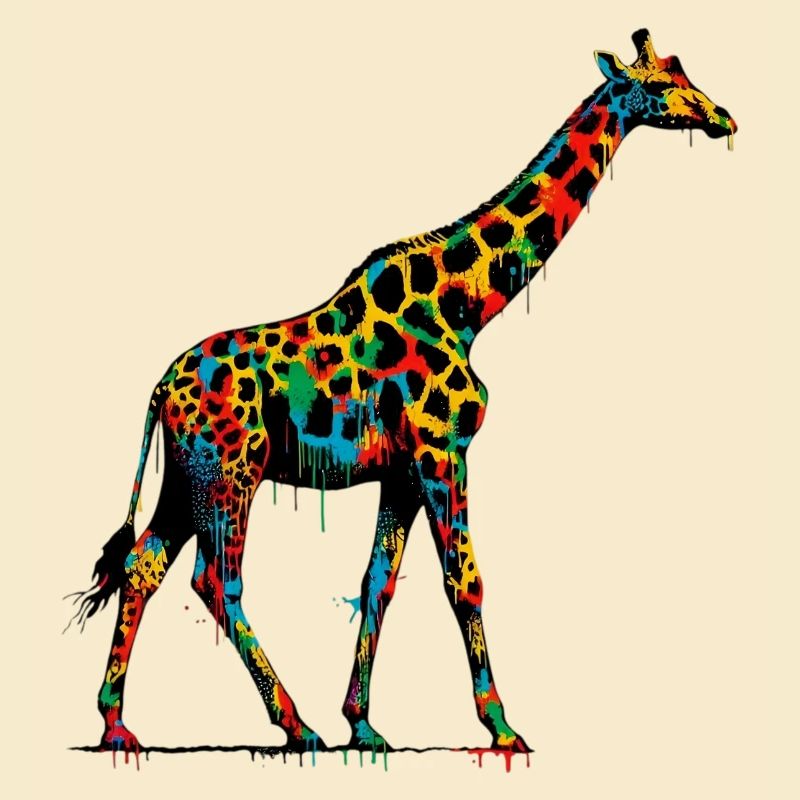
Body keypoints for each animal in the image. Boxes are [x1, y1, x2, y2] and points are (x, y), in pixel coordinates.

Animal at [73, 29, 736, 756]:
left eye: (685, 73)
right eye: (664, 85)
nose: (723, 118)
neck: (470, 305)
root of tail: (161, 388)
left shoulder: (401, 471)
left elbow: (378, 584)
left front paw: (363, 724)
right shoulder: (442, 450)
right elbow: (464, 581)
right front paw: (502, 727)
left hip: (185, 478)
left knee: (143, 568)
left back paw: (117, 725)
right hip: (232, 472)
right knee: (215, 578)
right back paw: (295, 726)